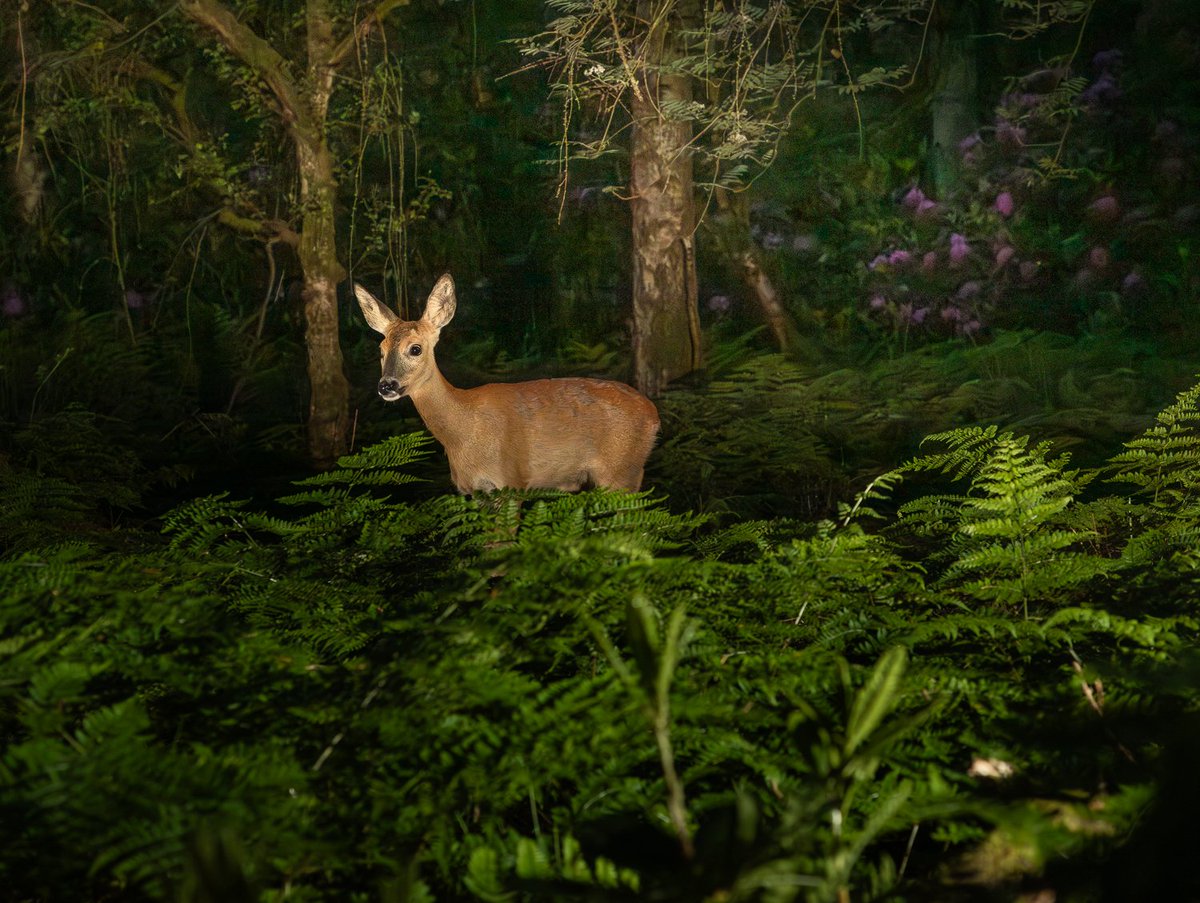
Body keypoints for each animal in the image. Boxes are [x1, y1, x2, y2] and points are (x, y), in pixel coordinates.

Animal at [355, 274, 660, 494]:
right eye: (381, 350)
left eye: (415, 349)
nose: (387, 386)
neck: (464, 429)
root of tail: (653, 415)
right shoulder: (473, 491)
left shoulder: (509, 480)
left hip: (621, 471)